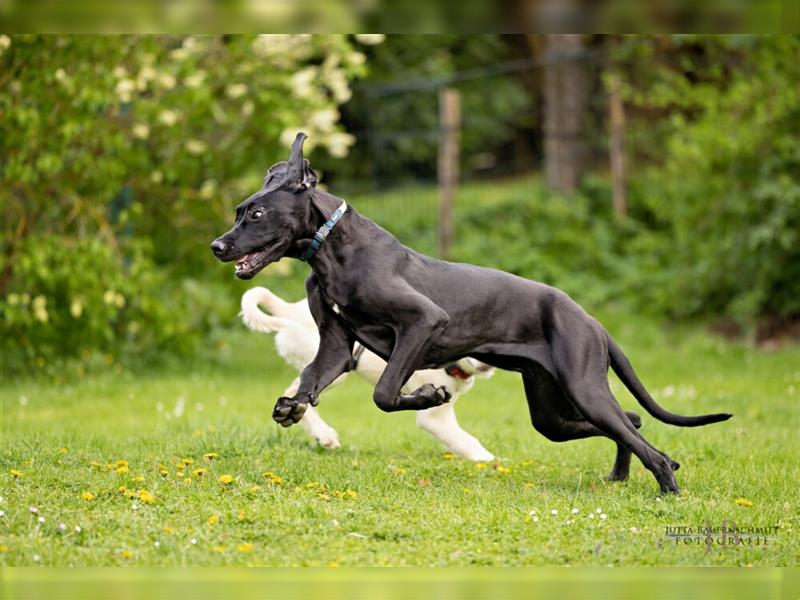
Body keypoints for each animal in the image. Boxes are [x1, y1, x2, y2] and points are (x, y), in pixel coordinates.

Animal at [241, 286, 496, 460]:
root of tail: (292, 309)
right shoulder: (434, 418)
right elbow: (465, 440)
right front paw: (489, 461)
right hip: (335, 367)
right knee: (297, 391)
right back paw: (324, 434)